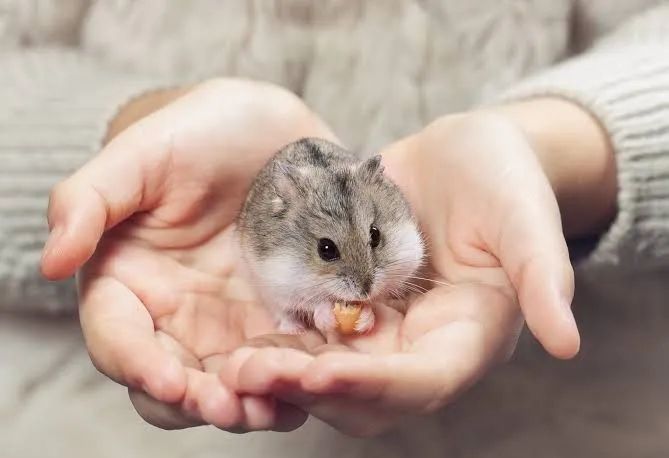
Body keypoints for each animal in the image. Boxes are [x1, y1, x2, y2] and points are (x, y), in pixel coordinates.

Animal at [238, 138, 424, 335]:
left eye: (375, 235)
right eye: (326, 249)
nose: (365, 292)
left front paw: (365, 318)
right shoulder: (280, 283)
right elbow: (313, 303)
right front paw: (325, 318)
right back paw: (295, 330)